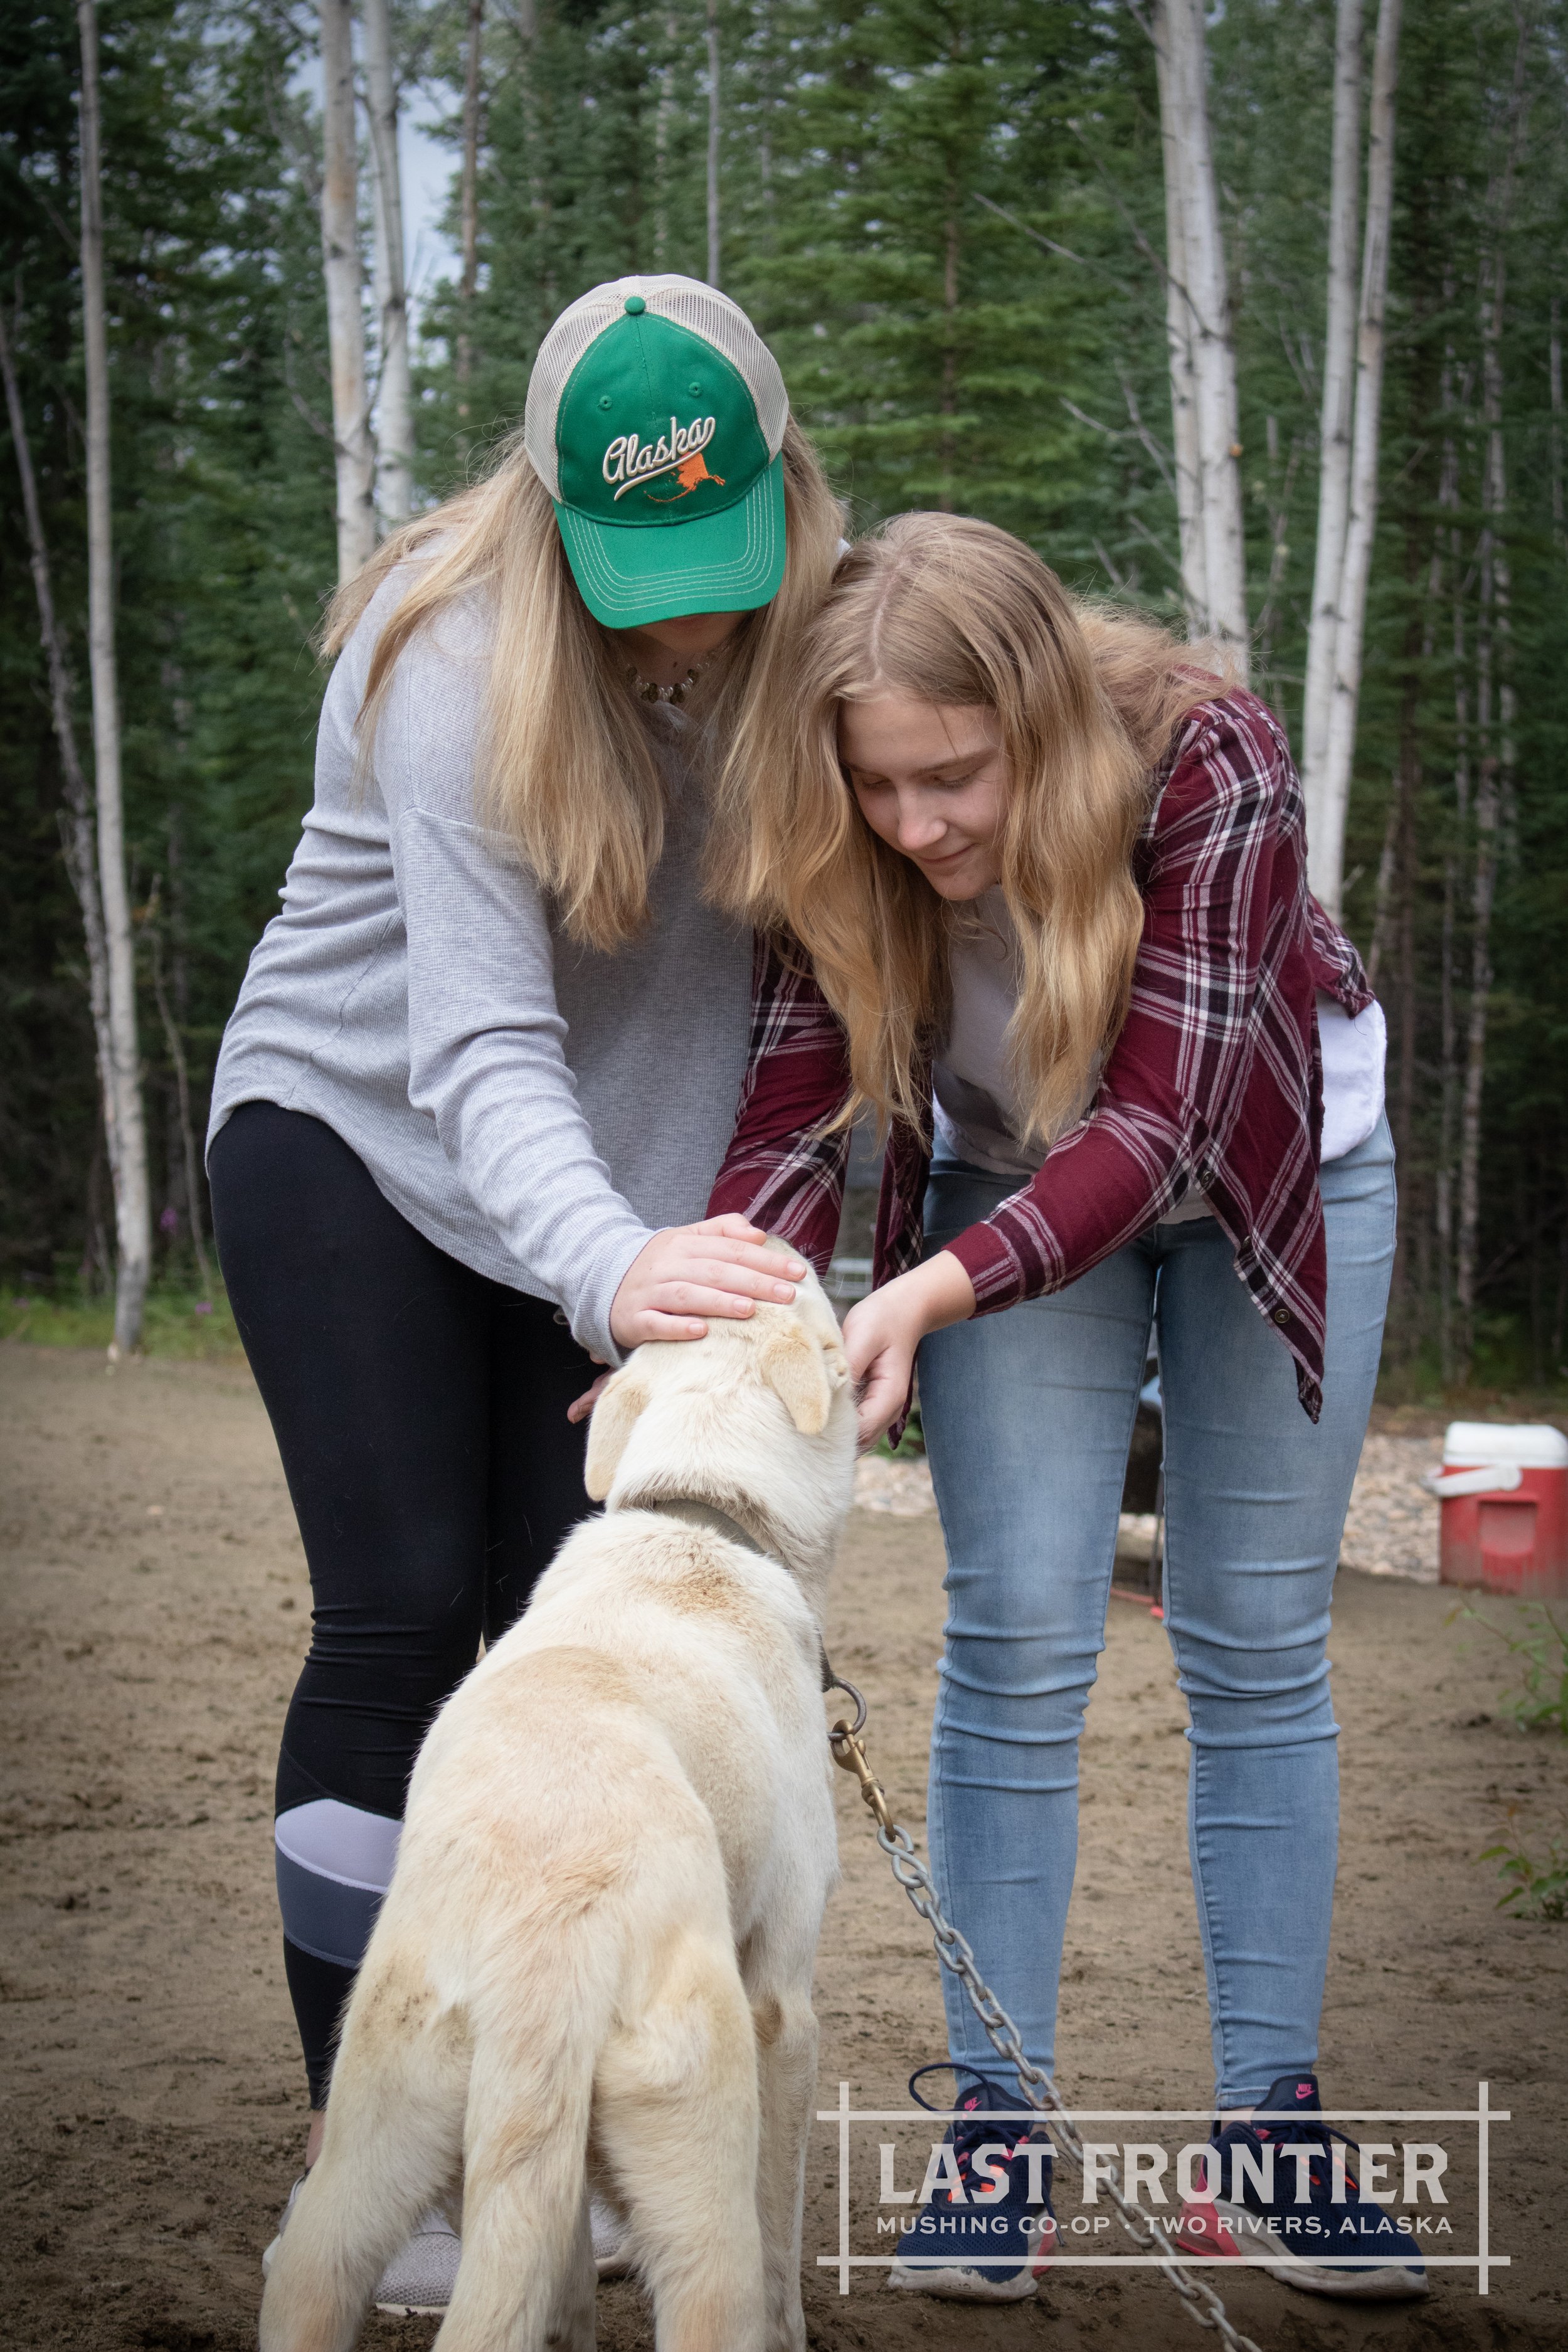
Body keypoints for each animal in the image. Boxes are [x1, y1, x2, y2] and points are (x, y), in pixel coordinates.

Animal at [255, 1261, 860, 2352]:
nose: (777, 1242)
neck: (699, 1514)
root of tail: (550, 1943)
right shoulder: (783, 2005)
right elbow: (783, 2246)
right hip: (700, 2152)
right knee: (724, 2282)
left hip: (370, 2144)